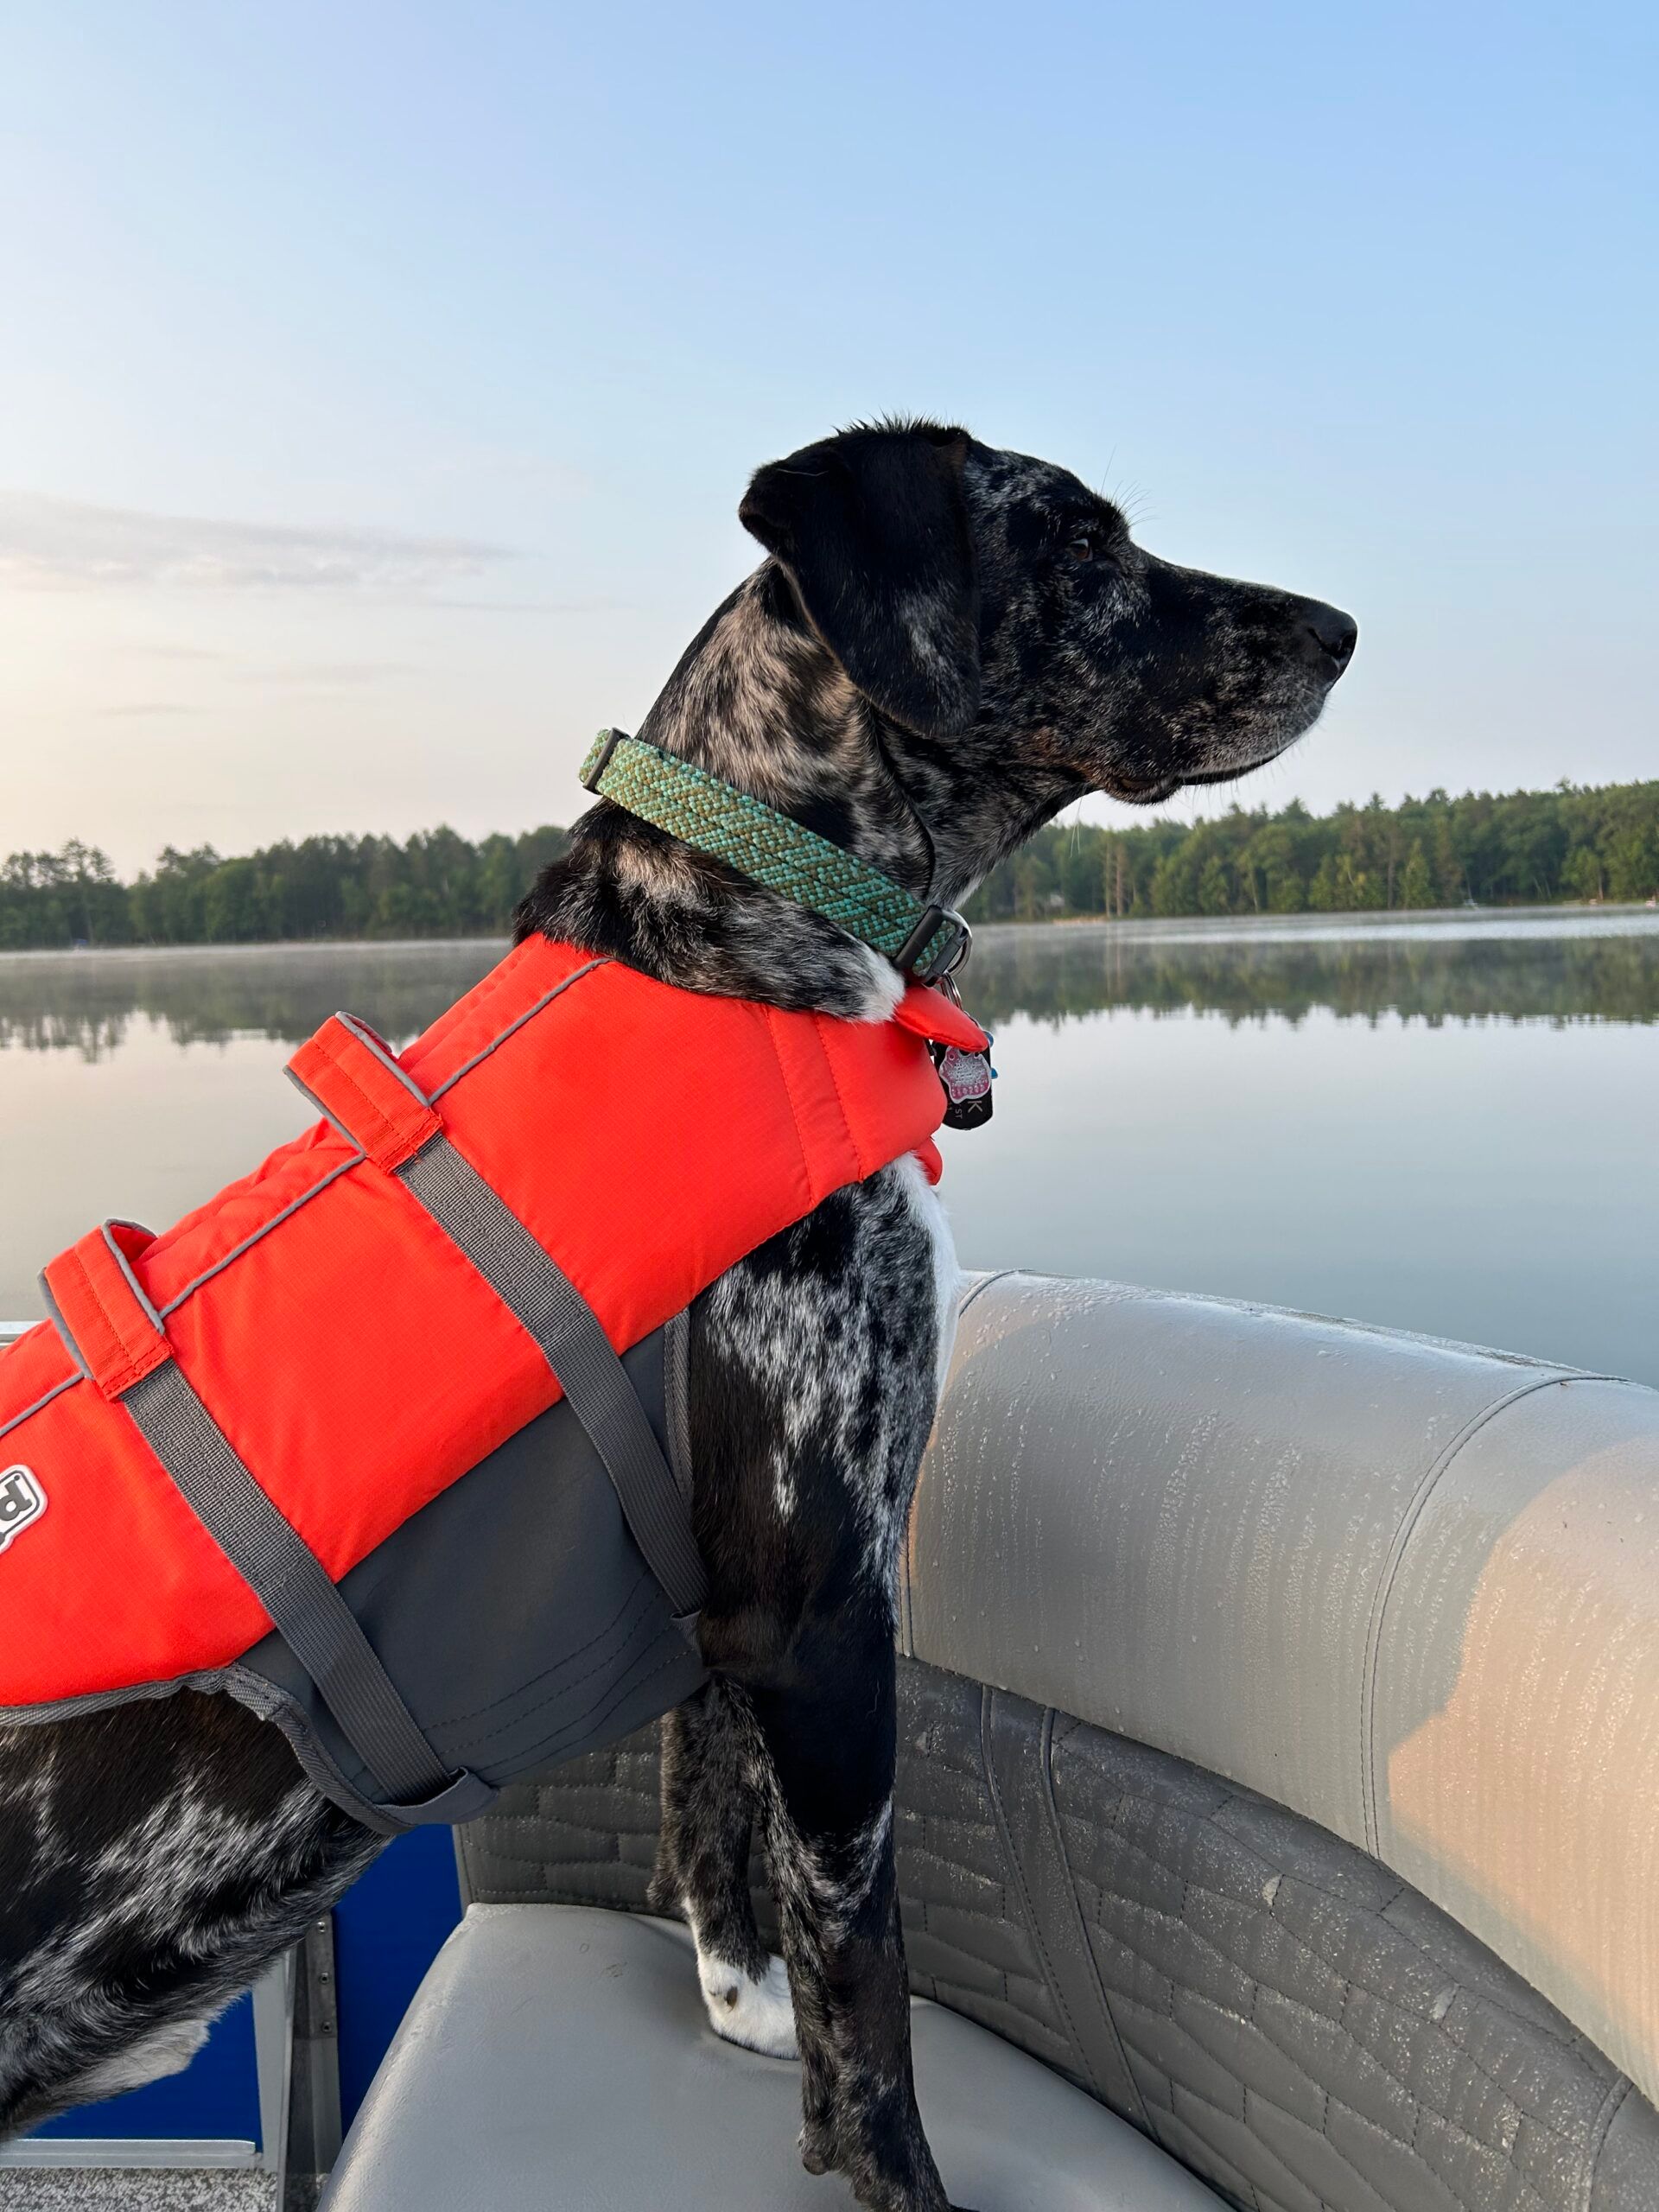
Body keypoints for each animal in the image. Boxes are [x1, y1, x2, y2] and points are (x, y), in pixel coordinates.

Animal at [0, 418, 1353, 2210]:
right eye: (1076, 541)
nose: (1339, 631)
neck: (755, 929)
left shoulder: (720, 1614)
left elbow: (718, 1842)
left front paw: (743, 2019)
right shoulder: (825, 1612)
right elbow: (870, 1981)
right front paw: (890, 2172)